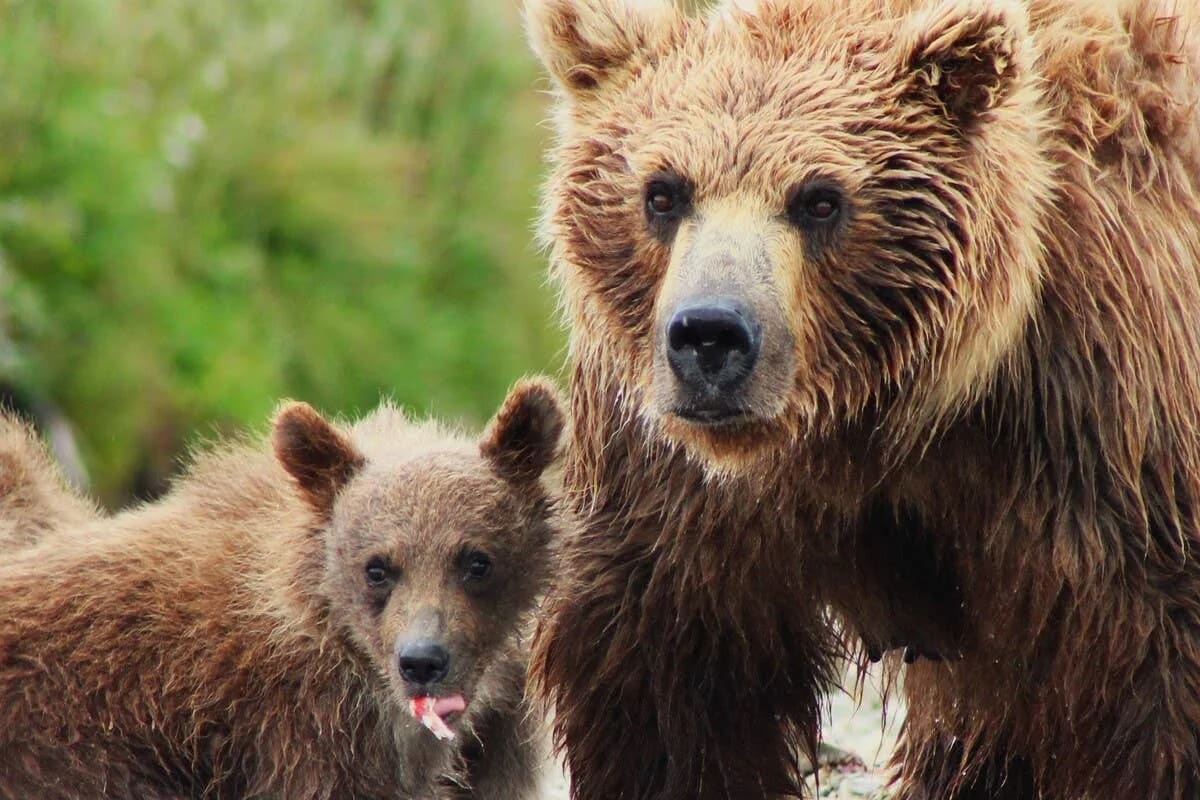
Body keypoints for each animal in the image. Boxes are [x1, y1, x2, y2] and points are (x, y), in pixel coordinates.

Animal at [523, 0, 1200, 798]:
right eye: (663, 191)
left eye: (820, 198)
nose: (711, 336)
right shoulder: (681, 477)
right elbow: (666, 679)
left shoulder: (1096, 427)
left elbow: (1151, 678)